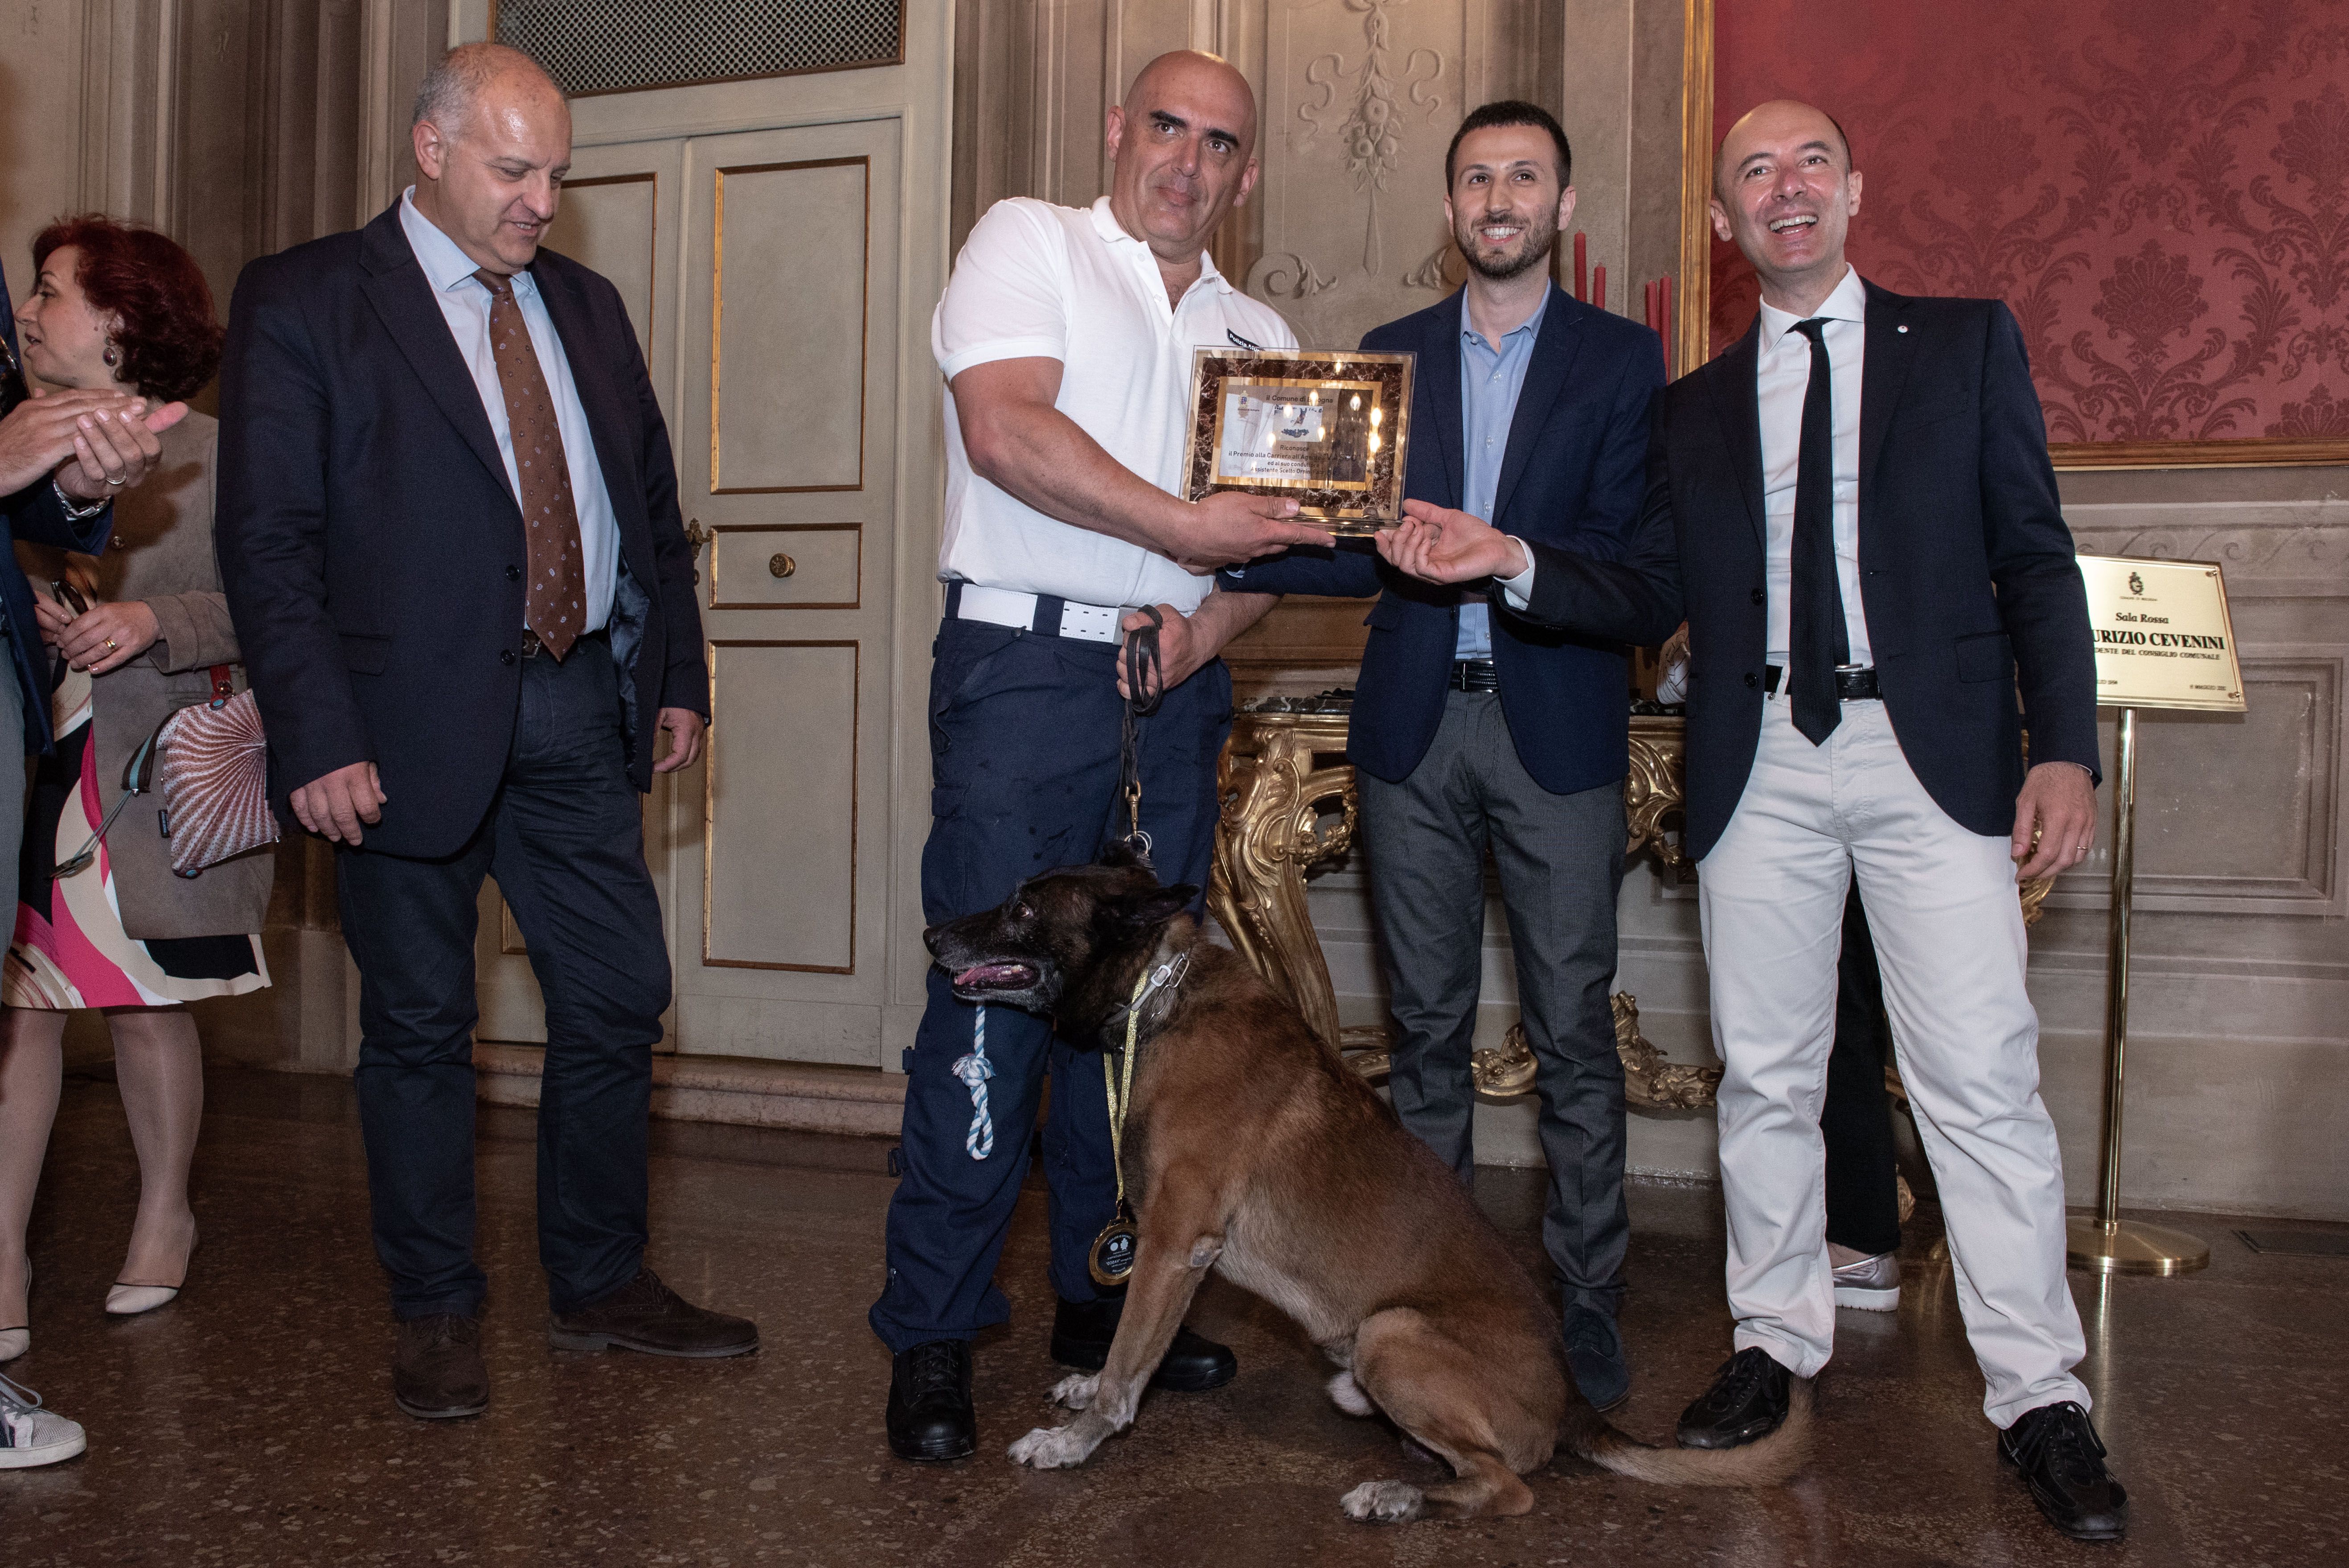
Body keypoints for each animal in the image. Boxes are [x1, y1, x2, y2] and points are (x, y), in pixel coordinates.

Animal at [925, 845, 1804, 1521]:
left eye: (1022, 907)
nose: (932, 931)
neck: (1158, 995)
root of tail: (1570, 1402)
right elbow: (1127, 1354)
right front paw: (1083, 1392)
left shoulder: (1175, 1244)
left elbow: (1125, 1367)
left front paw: (1075, 1441)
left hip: (1392, 1332)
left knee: (1508, 1485)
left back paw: (1398, 1495)